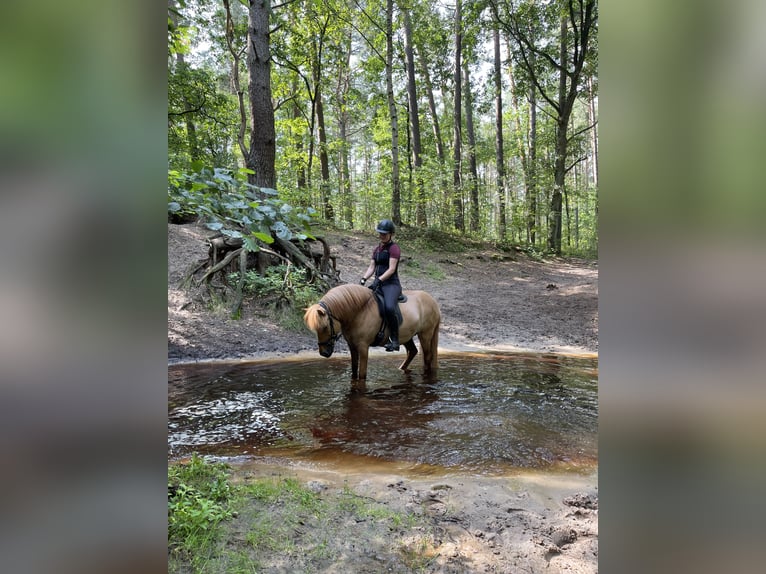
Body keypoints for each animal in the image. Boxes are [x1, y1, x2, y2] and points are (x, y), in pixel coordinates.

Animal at [304, 284, 440, 381]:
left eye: (325, 327)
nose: (324, 353)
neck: (359, 311)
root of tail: (433, 302)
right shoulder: (352, 346)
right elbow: (354, 371)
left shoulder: (363, 347)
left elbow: (362, 375)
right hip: (407, 337)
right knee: (413, 351)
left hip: (425, 334)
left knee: (427, 357)